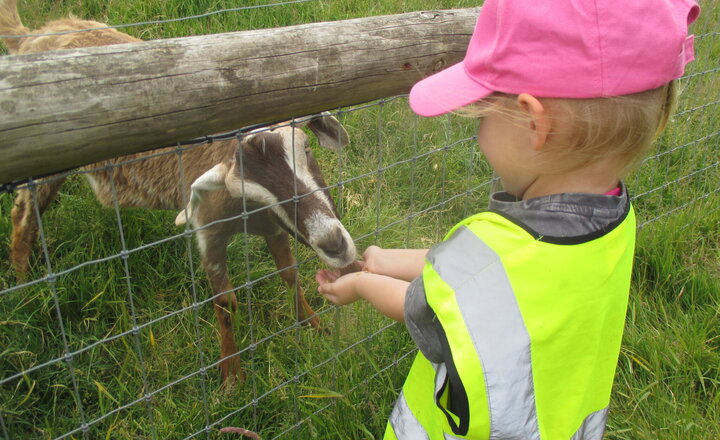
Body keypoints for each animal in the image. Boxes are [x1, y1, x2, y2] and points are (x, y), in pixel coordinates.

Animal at [1, 0, 358, 384]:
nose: (334, 244)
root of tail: (30, 37)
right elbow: (224, 302)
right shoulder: (207, 231)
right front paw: (231, 376)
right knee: (23, 215)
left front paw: (314, 326)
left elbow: (289, 274)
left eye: (305, 149)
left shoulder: (275, 227)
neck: (246, 214)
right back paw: (24, 286)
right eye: (250, 192)